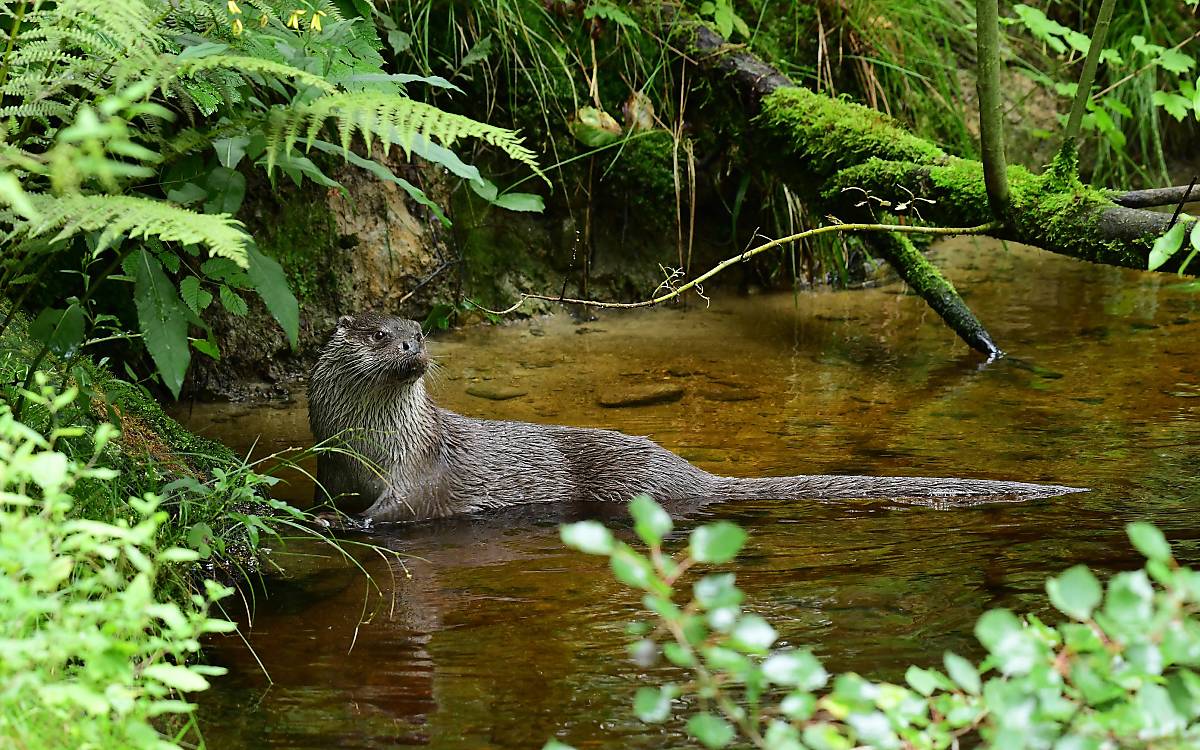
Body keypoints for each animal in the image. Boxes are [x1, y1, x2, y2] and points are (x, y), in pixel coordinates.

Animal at [307, 309, 1080, 520]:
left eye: (418, 333)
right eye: (379, 335)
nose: (413, 350)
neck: (367, 447)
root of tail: (692, 472)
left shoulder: (417, 468)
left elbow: (401, 510)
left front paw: (350, 526)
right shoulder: (331, 465)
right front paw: (324, 515)